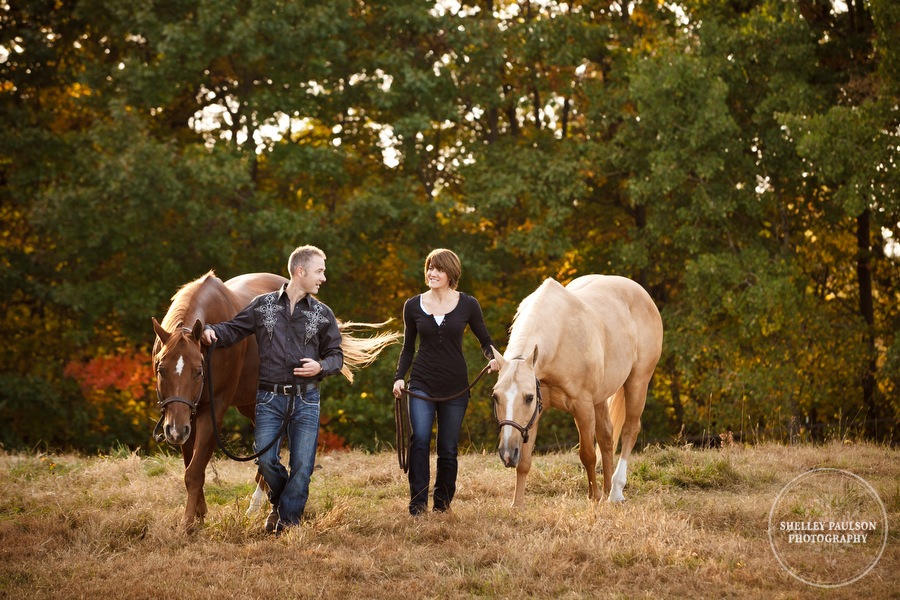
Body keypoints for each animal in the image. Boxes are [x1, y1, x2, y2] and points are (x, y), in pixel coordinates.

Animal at [153, 270, 400, 528]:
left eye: (198, 371)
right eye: (160, 368)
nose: (174, 430)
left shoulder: (213, 410)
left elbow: (195, 470)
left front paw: (188, 524)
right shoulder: (188, 414)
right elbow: (191, 467)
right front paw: (198, 515)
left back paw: (257, 507)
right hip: (250, 405)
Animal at [492, 276, 660, 506]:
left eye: (528, 397)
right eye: (495, 397)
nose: (507, 454)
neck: (560, 336)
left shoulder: (582, 406)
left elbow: (587, 454)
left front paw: (594, 497)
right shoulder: (535, 414)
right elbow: (525, 461)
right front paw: (517, 505)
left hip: (638, 381)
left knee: (630, 430)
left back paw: (615, 491)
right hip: (601, 397)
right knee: (607, 437)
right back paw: (607, 489)